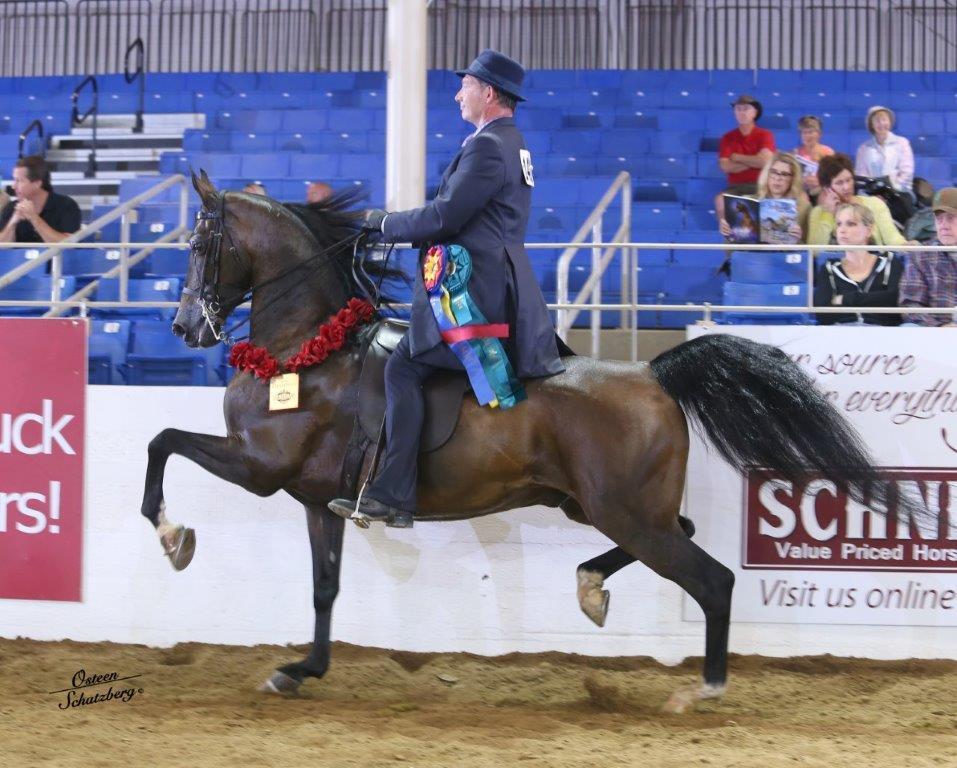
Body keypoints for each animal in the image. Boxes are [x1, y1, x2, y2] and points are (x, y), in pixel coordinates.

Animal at [143, 170, 894, 713]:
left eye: (199, 244)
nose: (183, 328)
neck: (306, 351)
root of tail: (652, 371)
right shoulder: (310, 496)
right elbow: (324, 589)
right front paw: (300, 670)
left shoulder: (259, 466)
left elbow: (163, 441)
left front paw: (175, 538)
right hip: (607, 507)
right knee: (679, 538)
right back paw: (591, 588)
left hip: (623, 511)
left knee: (712, 580)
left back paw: (700, 690)